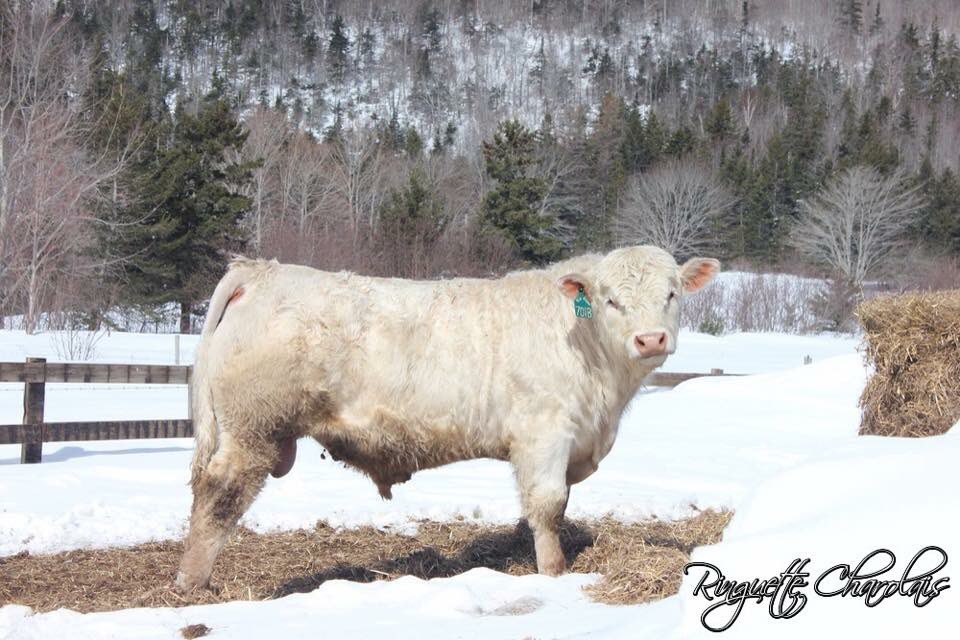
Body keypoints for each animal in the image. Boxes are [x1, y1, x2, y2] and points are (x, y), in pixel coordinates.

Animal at [175, 246, 719, 591]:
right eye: (612, 300)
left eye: (672, 294)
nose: (650, 339)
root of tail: (261, 271)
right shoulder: (544, 434)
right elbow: (547, 506)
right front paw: (553, 574)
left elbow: (554, 509)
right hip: (253, 429)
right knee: (219, 495)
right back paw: (192, 583)